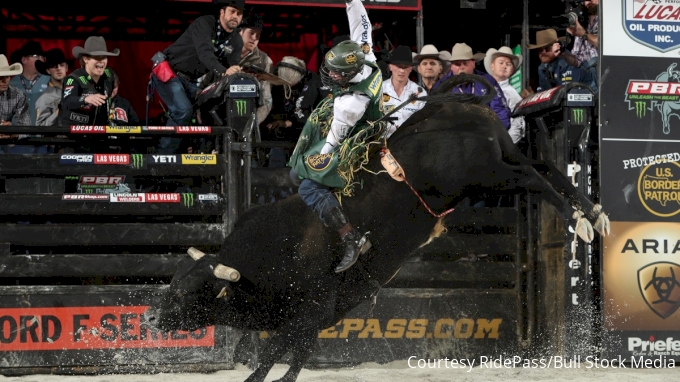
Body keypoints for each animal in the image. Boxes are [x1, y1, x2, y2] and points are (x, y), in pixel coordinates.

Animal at [145, 74, 612, 382]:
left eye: (187, 292)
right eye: (173, 283)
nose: (150, 317)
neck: (269, 254)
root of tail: (452, 104)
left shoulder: (310, 307)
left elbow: (274, 353)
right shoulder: (320, 315)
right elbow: (295, 356)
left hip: (490, 174)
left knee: (535, 177)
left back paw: (581, 220)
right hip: (502, 158)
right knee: (545, 166)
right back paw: (592, 212)